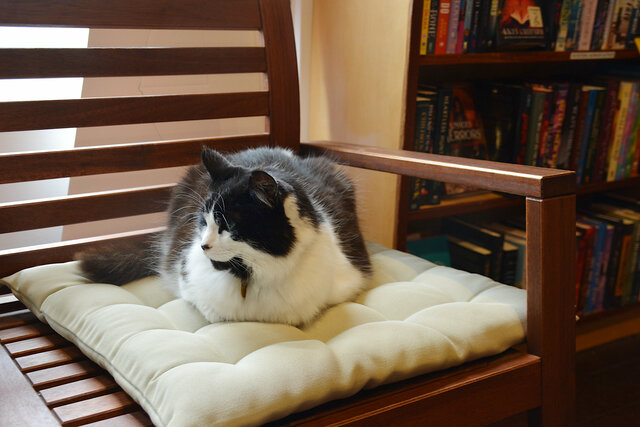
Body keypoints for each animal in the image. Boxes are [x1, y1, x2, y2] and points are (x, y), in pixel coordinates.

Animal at [77, 148, 372, 328]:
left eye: (227, 226)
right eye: (204, 220)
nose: (202, 246)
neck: (247, 277)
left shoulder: (347, 280)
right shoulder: (188, 281)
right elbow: (213, 309)